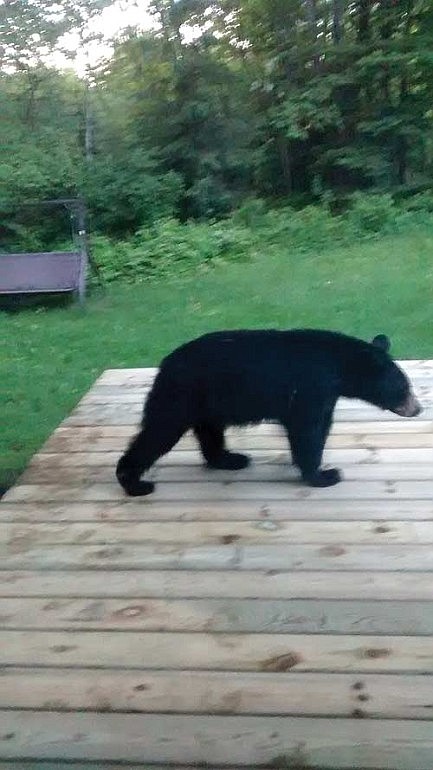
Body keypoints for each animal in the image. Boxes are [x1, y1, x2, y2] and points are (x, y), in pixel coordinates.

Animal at [116, 328, 421, 496]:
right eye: (404, 387)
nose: (418, 408)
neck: (338, 365)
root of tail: (164, 364)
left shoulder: (325, 393)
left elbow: (321, 425)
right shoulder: (310, 387)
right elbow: (307, 431)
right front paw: (324, 475)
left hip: (207, 401)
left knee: (210, 431)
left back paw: (230, 459)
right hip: (180, 396)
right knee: (159, 431)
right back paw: (133, 483)